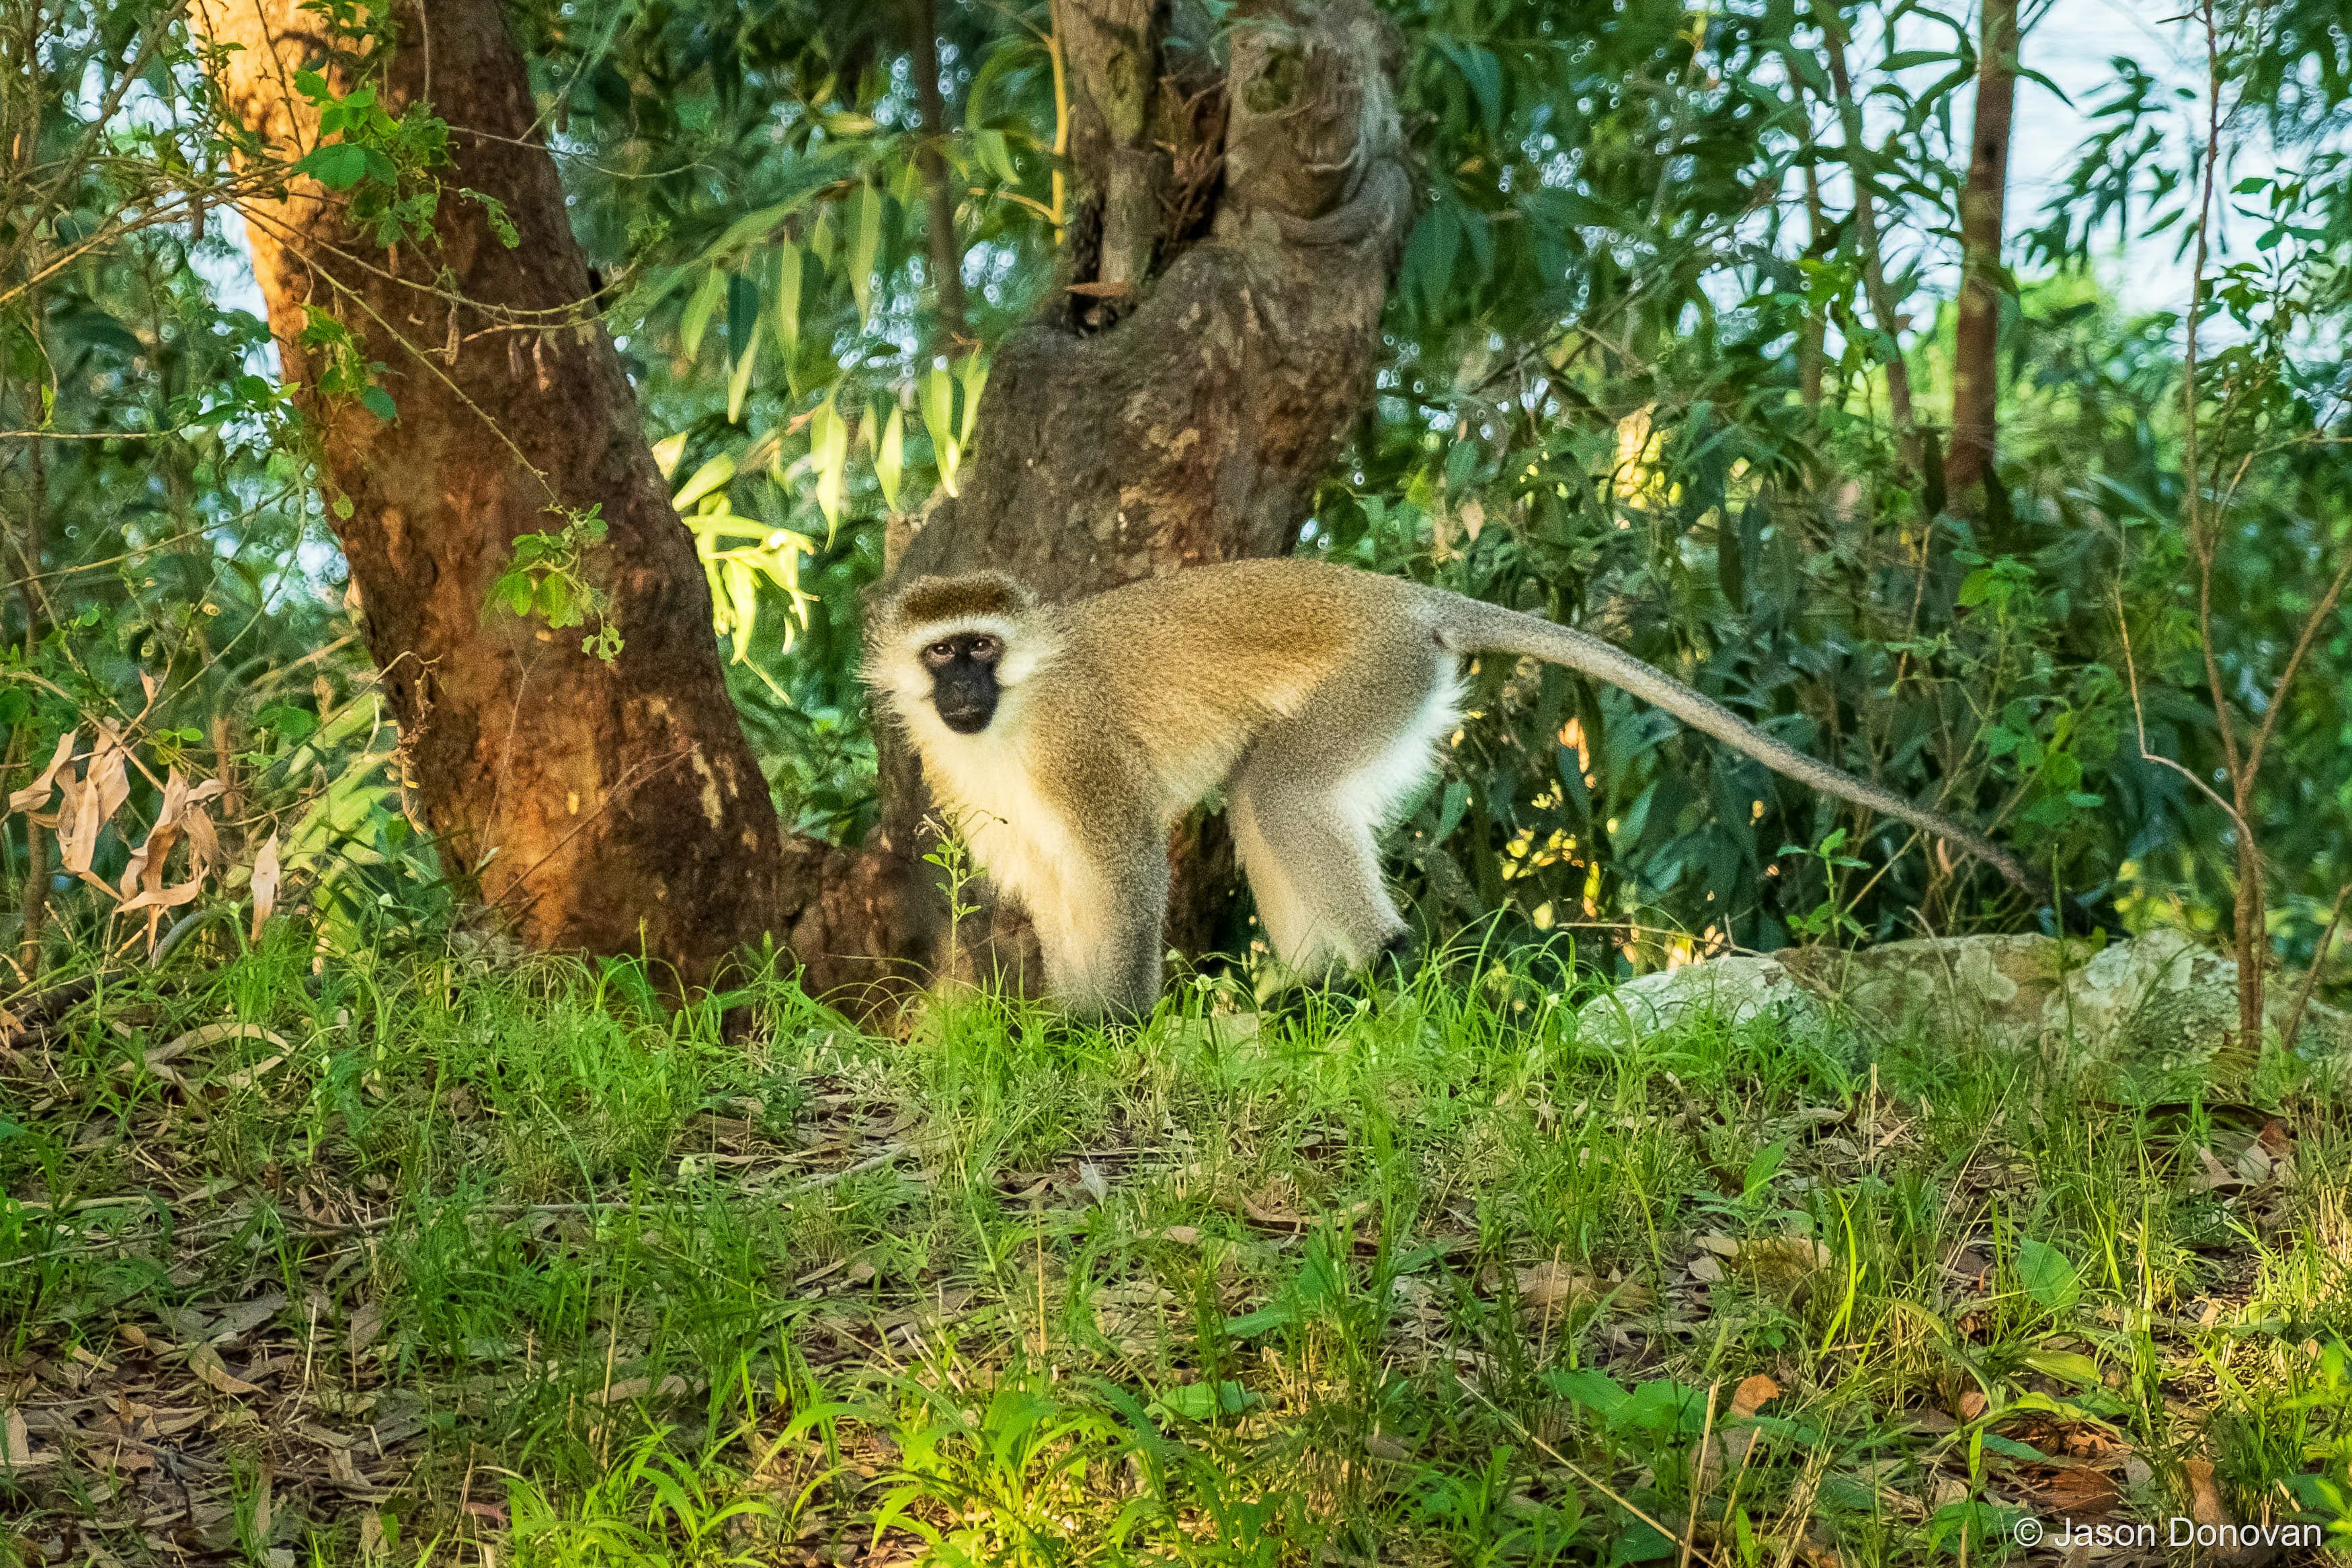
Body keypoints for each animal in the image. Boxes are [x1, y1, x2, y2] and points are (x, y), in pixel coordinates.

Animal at [864, 558, 2038, 1020]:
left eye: (981, 647)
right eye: (940, 656)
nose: (961, 689)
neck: (1014, 715)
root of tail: (1397, 596)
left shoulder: (1079, 749)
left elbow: (1121, 871)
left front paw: (1108, 1030)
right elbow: (1056, 889)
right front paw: (1065, 1028)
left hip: (1373, 679)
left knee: (1276, 794)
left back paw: (1376, 969)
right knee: (1267, 801)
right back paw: (1317, 997)